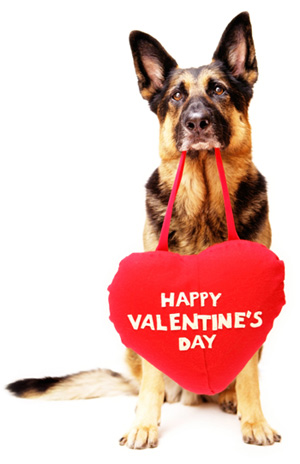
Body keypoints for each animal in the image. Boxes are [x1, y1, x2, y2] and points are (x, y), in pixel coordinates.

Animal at [8, 10, 282, 450]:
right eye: (176, 97)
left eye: (219, 90)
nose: (197, 122)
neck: (204, 203)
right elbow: (152, 381)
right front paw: (144, 425)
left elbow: (250, 377)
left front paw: (254, 421)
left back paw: (228, 398)